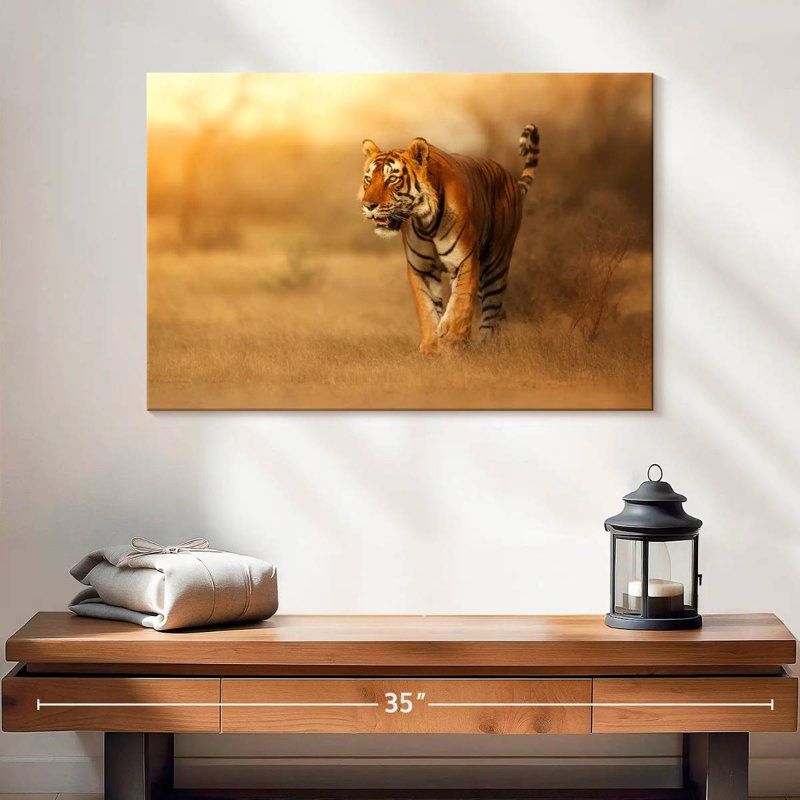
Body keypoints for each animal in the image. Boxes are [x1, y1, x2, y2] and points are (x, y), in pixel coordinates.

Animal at [359, 124, 539, 354]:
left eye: (392, 179)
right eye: (368, 179)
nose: (368, 205)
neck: (425, 222)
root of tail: (511, 179)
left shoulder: (465, 260)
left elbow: (460, 303)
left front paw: (452, 342)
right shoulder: (421, 268)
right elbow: (426, 309)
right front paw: (430, 348)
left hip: (495, 264)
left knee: (492, 309)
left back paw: (487, 347)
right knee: (499, 311)